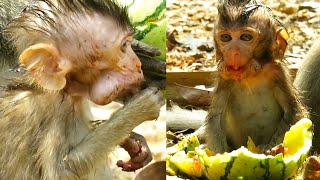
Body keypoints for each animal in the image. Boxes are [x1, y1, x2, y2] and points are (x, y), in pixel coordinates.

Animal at [0, 0, 164, 179]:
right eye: (124, 46)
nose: (138, 65)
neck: (65, 93)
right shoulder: (44, 111)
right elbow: (59, 173)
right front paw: (141, 107)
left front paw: (132, 141)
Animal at [200, 0, 308, 153]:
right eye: (226, 38)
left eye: (246, 37)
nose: (233, 52)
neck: (250, 76)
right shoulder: (224, 77)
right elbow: (216, 116)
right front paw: (218, 154)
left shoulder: (277, 72)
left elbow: (293, 112)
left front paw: (270, 148)